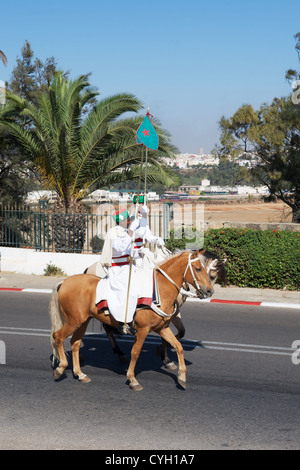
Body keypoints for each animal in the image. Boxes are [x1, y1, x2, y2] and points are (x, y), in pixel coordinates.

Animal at [50, 250, 217, 390]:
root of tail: (64, 282)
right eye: (198, 269)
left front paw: (181, 376)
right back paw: (61, 367)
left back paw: (80, 374)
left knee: (75, 343)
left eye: (209, 271)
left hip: (82, 321)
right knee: (58, 336)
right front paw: (132, 379)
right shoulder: (143, 330)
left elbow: (178, 346)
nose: (210, 291)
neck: (159, 291)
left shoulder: (162, 328)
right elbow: (135, 352)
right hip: (74, 321)